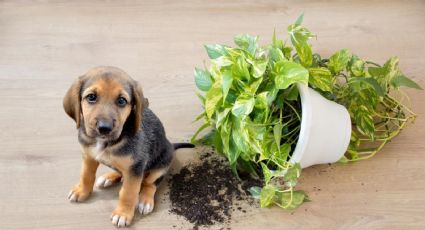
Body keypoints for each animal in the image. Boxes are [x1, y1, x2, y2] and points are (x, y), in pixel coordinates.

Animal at [62, 66, 192, 226]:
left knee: (151, 183)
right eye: (91, 97)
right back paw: (109, 177)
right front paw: (82, 191)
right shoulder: (88, 156)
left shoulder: (135, 168)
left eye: (121, 101)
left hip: (161, 164)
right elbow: (86, 175)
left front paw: (123, 214)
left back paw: (145, 200)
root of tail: (171, 145)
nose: (104, 128)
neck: (105, 143)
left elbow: (128, 193)